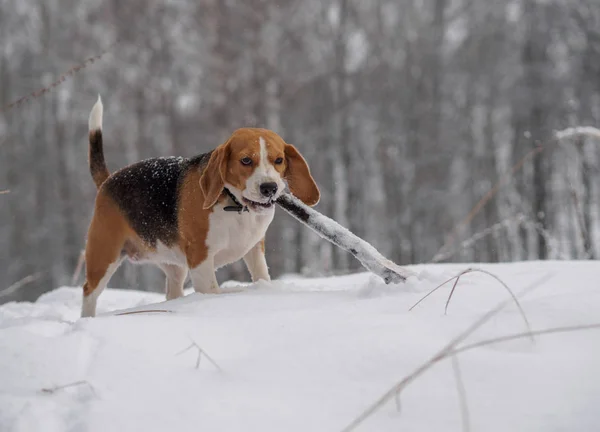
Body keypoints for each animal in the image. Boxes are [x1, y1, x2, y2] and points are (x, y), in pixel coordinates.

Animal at [83, 96, 324, 316]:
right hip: (104, 255)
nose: (269, 188)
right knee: (89, 292)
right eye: (246, 160)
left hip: (175, 267)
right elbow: (211, 290)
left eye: (279, 160)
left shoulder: (254, 249)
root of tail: (109, 180)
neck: (234, 205)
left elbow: (261, 275)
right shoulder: (201, 258)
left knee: (173, 290)